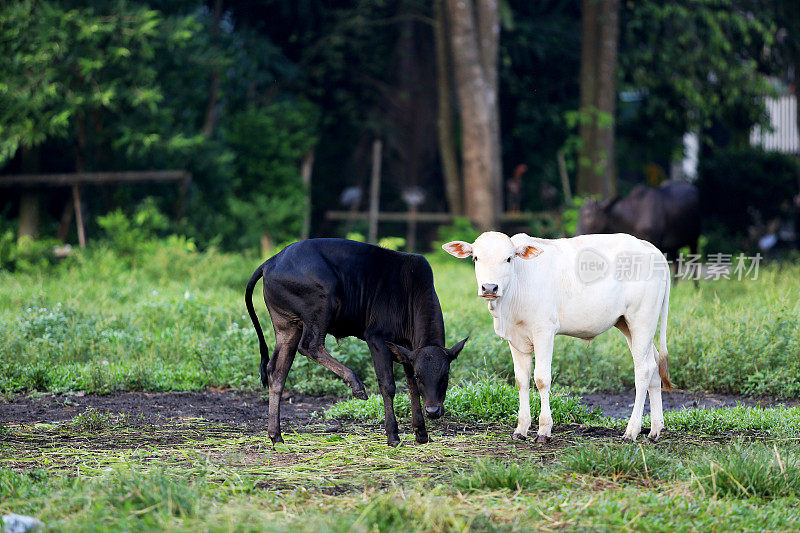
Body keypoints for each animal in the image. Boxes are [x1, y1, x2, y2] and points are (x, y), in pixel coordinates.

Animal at [245, 238, 468, 444]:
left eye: (445, 376)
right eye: (422, 376)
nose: (433, 410)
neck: (410, 291)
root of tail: (273, 260)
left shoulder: (408, 350)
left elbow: (411, 387)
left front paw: (421, 433)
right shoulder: (377, 338)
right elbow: (388, 385)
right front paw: (393, 435)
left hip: (287, 325)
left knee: (277, 371)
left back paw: (276, 435)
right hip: (320, 306)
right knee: (310, 346)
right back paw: (356, 384)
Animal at [440, 230, 672, 440]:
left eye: (508, 258)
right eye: (476, 258)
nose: (489, 287)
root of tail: (651, 249)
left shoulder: (544, 330)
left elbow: (541, 378)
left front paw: (544, 430)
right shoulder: (515, 340)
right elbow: (521, 379)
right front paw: (521, 429)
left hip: (642, 320)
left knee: (643, 371)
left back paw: (631, 432)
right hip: (627, 324)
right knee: (653, 366)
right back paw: (654, 430)